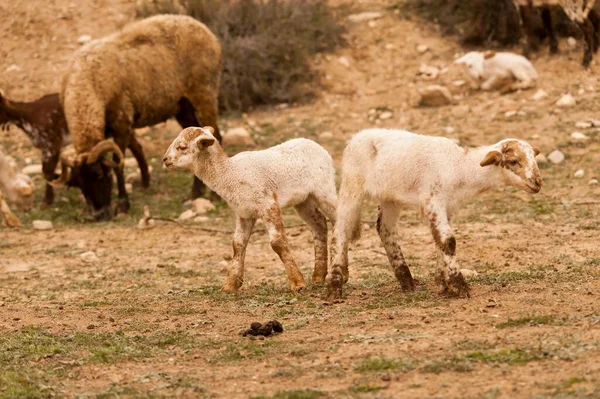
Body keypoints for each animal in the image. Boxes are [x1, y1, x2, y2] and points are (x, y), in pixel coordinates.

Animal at [163, 128, 338, 294]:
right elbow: (237, 244)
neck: (229, 174)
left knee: (338, 218)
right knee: (319, 225)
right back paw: (318, 276)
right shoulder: (244, 213)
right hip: (303, 200)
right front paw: (230, 286)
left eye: (182, 146)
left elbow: (277, 242)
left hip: (325, 188)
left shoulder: (268, 204)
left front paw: (298, 283)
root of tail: (315, 145)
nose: (164, 159)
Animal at [328, 130, 544, 302]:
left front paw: (443, 283)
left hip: (390, 197)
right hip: (352, 185)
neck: (460, 167)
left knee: (384, 229)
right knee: (340, 229)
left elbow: (442, 242)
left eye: (534, 159)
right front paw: (458, 285)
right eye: (514, 161)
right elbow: (448, 241)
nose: (538, 183)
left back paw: (406, 280)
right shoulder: (433, 201)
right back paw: (335, 284)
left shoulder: (448, 207)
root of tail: (358, 135)